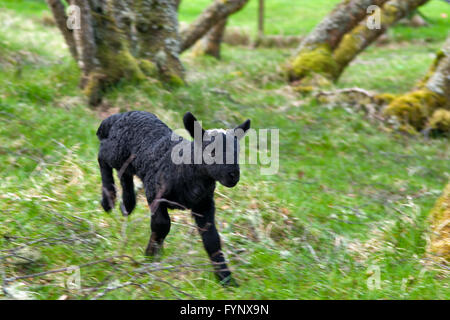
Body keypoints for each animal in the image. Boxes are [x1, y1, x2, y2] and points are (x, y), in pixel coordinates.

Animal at [96, 110, 250, 284]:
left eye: (237, 153)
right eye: (212, 152)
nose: (233, 176)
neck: (185, 168)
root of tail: (122, 114)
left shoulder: (204, 204)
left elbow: (212, 239)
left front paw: (226, 278)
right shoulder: (154, 192)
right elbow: (162, 224)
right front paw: (150, 256)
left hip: (127, 158)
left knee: (124, 174)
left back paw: (127, 205)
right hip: (117, 150)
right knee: (102, 154)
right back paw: (108, 200)